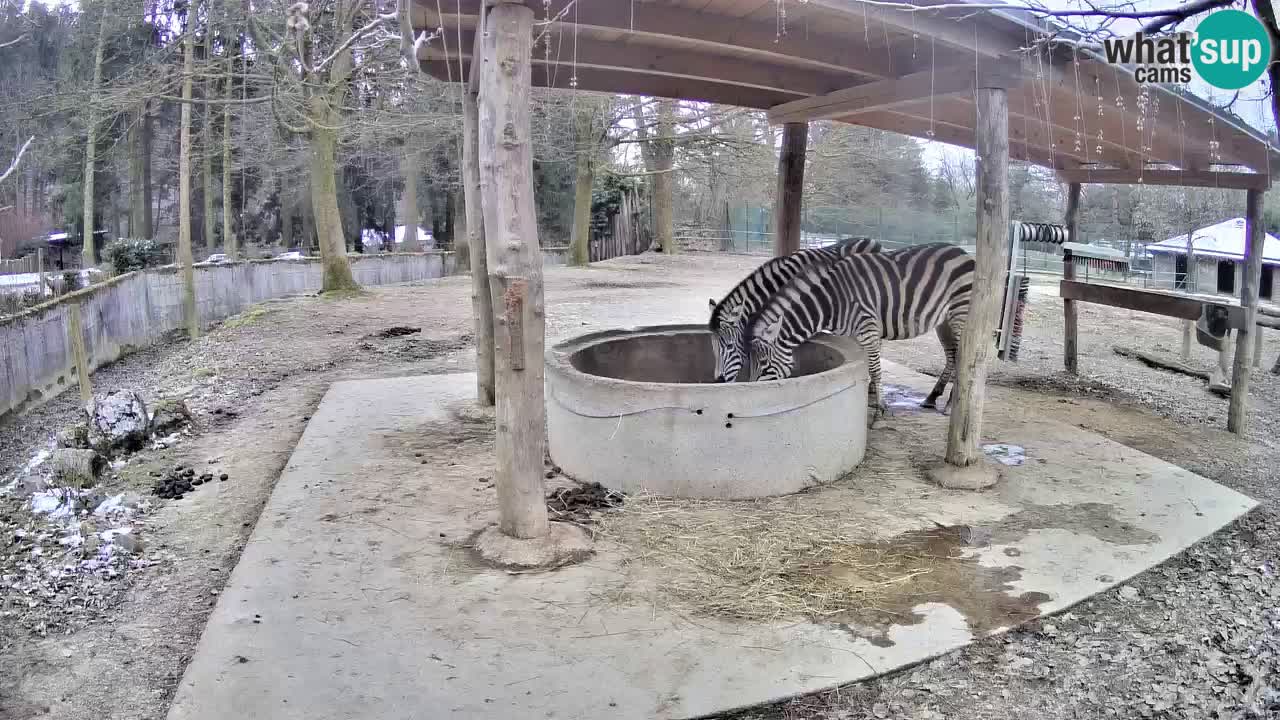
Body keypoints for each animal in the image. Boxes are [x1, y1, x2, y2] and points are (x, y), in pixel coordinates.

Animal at [742, 242, 967, 420]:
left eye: (764, 364)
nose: (752, 395)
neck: (831, 303)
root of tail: (963, 252)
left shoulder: (867, 327)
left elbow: (875, 368)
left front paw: (880, 409)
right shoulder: (853, 333)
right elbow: (864, 363)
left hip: (960, 315)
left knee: (961, 359)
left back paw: (949, 405)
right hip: (943, 321)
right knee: (952, 356)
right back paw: (932, 398)